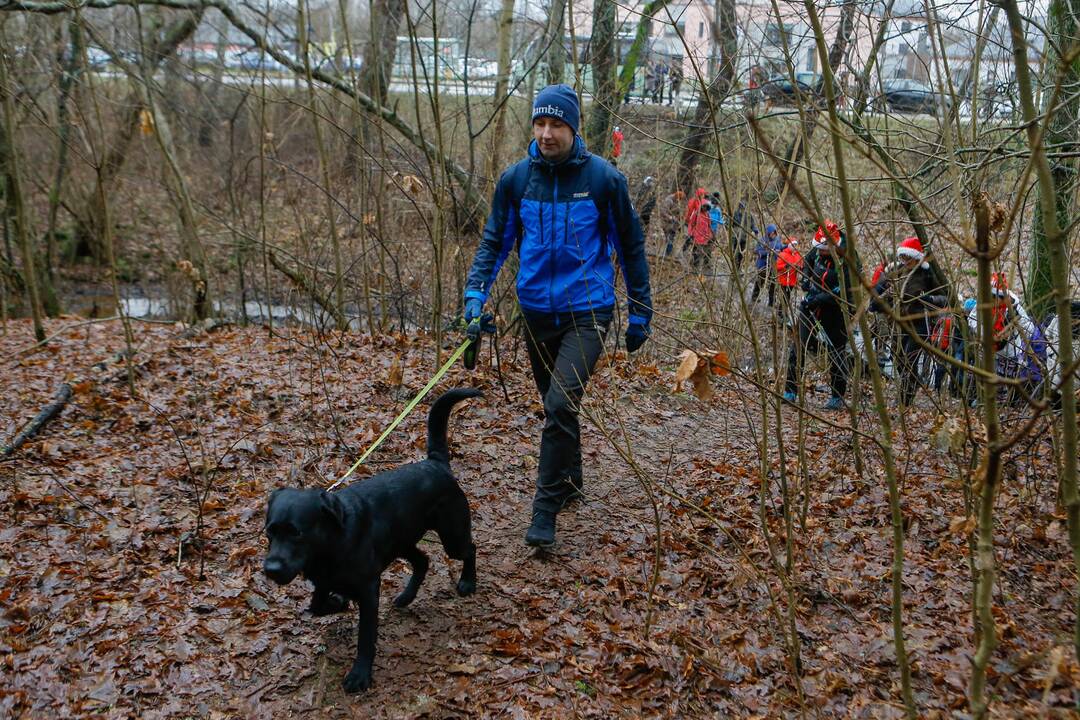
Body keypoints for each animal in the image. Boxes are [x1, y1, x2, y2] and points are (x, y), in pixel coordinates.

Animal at [261, 388, 481, 690]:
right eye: (270, 532)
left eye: (296, 532)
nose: (271, 570)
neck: (331, 545)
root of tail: (435, 464)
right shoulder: (324, 581)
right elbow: (317, 606)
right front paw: (337, 603)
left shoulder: (368, 589)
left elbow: (366, 637)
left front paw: (360, 674)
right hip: (401, 541)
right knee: (423, 560)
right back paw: (407, 596)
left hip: (452, 536)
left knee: (469, 549)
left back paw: (468, 582)